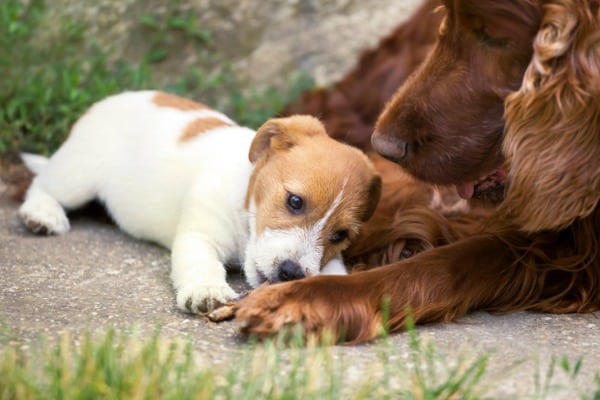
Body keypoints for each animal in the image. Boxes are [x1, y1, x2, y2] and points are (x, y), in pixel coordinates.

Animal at [22, 92, 384, 314]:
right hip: (78, 176)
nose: (290, 272)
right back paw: (42, 214)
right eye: (295, 201)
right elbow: (201, 264)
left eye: (339, 236)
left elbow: (332, 268)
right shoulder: (199, 235)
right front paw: (207, 290)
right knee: (41, 184)